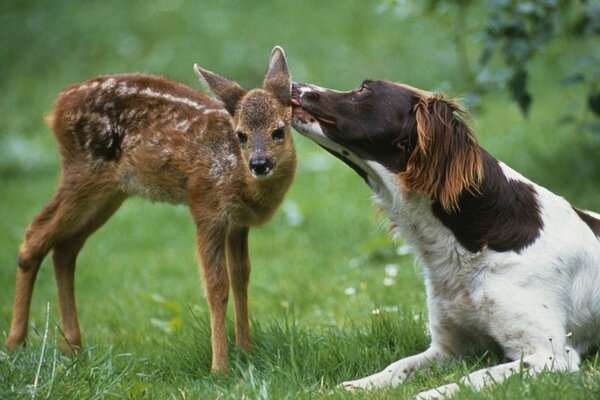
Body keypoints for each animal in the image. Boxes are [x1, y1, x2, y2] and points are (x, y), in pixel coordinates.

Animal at [290, 79, 600, 398]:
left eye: (365, 89)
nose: (294, 84)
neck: (470, 245)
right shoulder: (450, 346)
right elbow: (399, 365)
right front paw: (358, 385)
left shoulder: (549, 356)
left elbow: (475, 377)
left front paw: (429, 393)